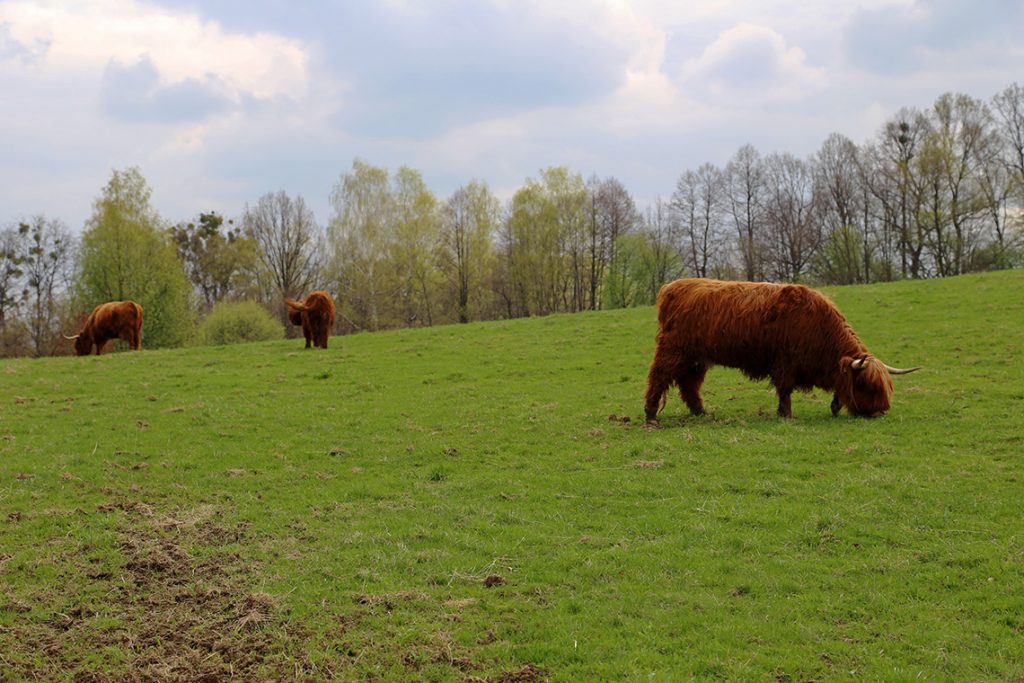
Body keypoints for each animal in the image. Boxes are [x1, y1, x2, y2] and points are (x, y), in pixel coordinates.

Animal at [643, 278, 917, 421]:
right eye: (868, 386)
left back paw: (701, 412)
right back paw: (651, 414)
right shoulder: (786, 362)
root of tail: (673, 287)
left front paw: (835, 406)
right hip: (672, 351)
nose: (881, 412)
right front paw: (785, 414)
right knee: (658, 377)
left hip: (696, 359)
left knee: (689, 384)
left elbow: (839, 384)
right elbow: (785, 389)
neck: (821, 329)